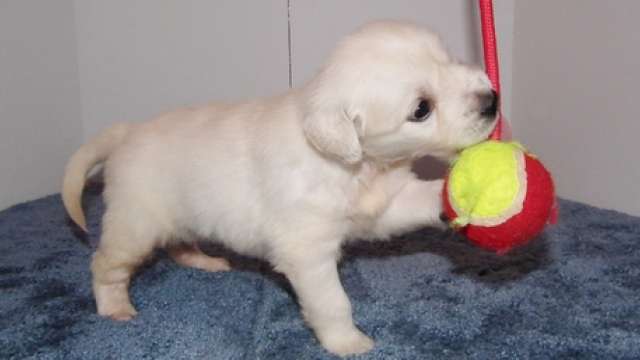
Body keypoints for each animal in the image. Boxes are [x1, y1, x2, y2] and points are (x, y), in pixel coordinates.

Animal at [62, 21, 498, 356]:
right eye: (421, 109)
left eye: (450, 58)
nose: (491, 100)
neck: (354, 164)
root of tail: (127, 133)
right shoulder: (307, 251)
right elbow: (332, 302)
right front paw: (347, 343)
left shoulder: (383, 205)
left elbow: (414, 200)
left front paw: (459, 196)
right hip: (135, 225)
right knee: (105, 264)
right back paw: (115, 306)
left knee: (180, 243)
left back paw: (205, 261)